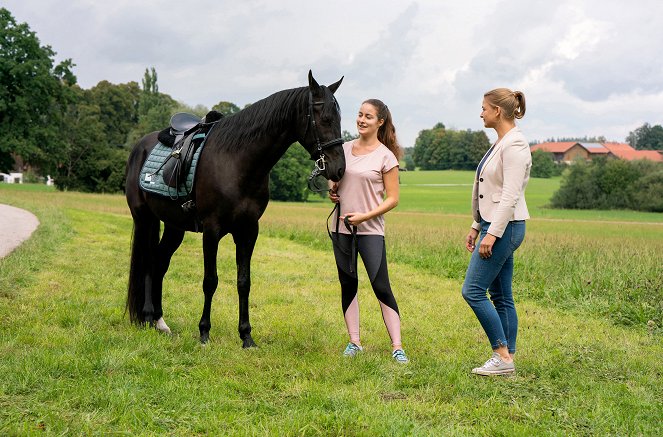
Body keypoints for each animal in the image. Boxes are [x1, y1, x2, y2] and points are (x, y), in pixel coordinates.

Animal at [122, 71, 348, 346]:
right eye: (325, 119)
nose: (339, 169)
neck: (237, 161)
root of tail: (140, 146)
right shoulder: (211, 230)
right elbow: (210, 281)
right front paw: (204, 332)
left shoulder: (248, 231)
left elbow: (244, 282)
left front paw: (246, 336)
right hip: (145, 219)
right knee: (147, 261)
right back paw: (146, 318)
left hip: (174, 226)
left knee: (159, 262)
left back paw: (159, 321)